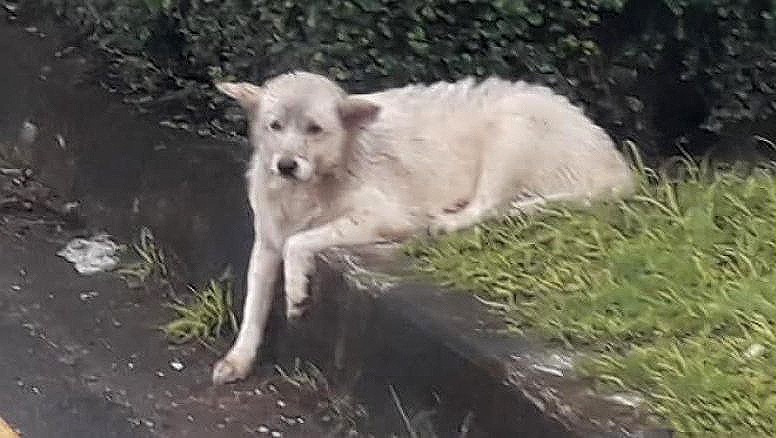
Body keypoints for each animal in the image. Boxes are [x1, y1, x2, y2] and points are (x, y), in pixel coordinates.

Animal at [209, 71, 632, 384]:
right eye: (275, 126)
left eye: (315, 129)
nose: (286, 165)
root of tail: (618, 166)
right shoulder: (266, 242)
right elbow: (253, 305)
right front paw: (239, 359)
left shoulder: (386, 216)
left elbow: (299, 242)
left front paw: (296, 292)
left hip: (509, 130)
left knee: (491, 207)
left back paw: (448, 220)